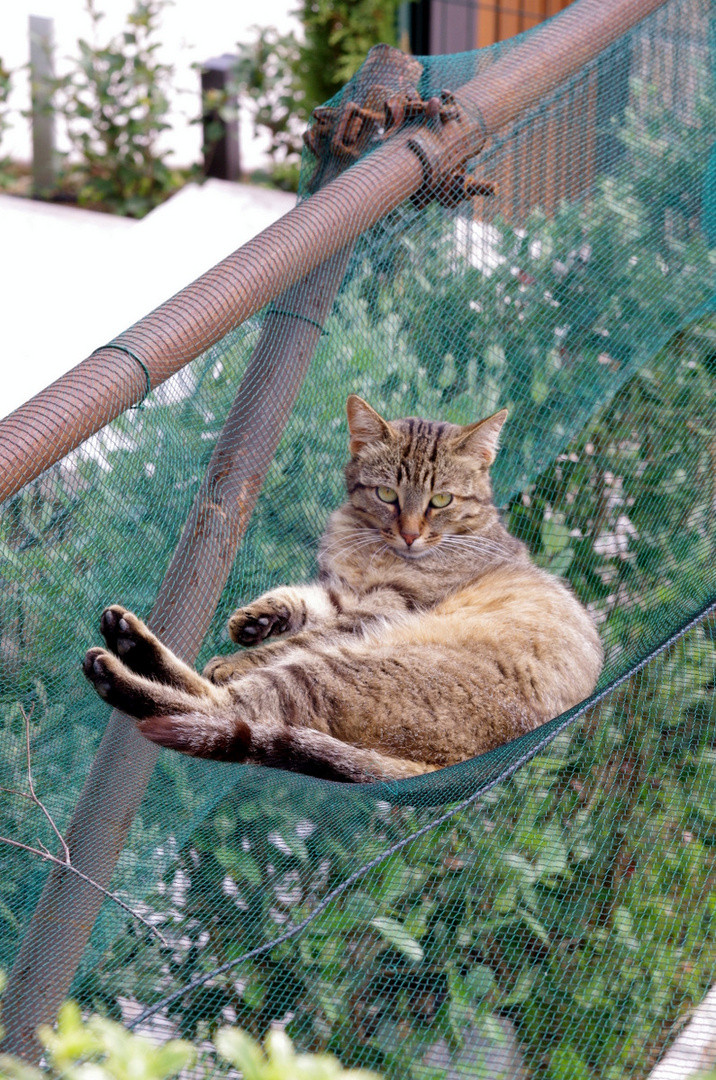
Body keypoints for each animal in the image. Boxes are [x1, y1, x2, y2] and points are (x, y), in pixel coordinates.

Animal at [84, 393, 604, 781]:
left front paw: (238, 657)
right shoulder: (345, 592)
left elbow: (300, 638)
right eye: (387, 494)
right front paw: (255, 619)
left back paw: (126, 664)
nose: (410, 534)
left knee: (223, 709)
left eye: (441, 501)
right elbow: (302, 600)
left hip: (335, 671)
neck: (376, 544)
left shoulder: (385, 607)